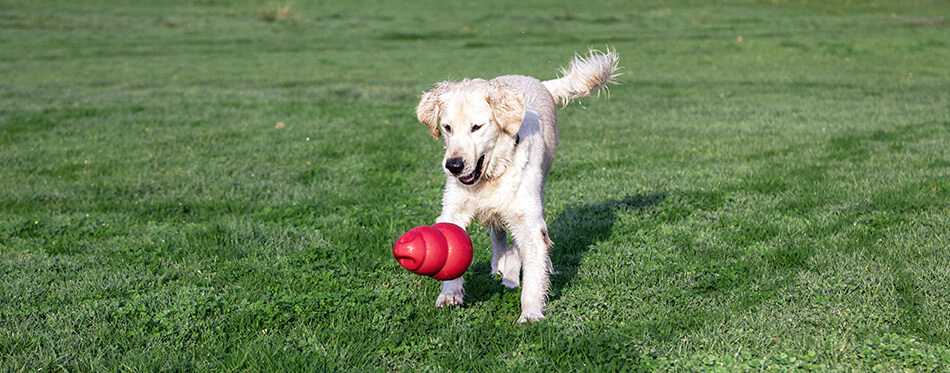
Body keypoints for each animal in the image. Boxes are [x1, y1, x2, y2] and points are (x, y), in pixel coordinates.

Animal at [414, 48, 620, 322]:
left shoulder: (529, 220)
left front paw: (531, 314)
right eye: (447, 127)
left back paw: (510, 276)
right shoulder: (454, 210)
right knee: (498, 237)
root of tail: (538, 82)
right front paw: (450, 294)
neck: (493, 173)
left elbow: (533, 268)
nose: (454, 166)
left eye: (476, 127)